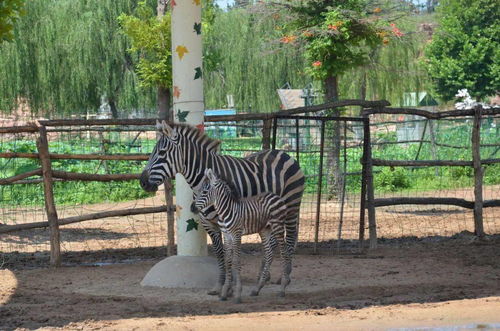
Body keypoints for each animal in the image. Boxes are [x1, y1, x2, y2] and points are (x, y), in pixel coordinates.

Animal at [194, 170, 292, 302]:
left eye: (204, 192)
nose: (192, 208)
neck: (225, 211)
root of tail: (276, 196)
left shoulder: (236, 234)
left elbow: (236, 261)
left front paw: (237, 294)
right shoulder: (227, 235)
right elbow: (228, 261)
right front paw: (224, 293)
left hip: (278, 226)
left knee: (283, 252)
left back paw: (282, 288)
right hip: (265, 229)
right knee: (269, 254)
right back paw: (257, 289)